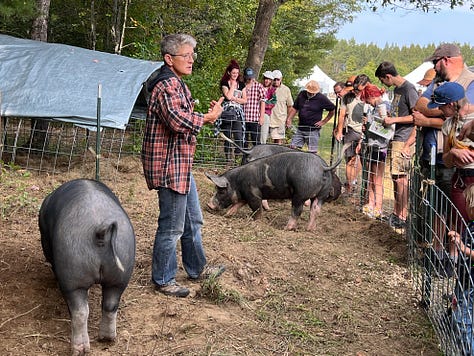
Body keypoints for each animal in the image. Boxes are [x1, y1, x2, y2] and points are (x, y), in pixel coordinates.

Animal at [38, 179, 135, 354]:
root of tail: (100, 230)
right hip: (121, 269)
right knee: (110, 305)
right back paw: (107, 339)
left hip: (72, 275)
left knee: (80, 311)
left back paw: (79, 350)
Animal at [206, 149, 342, 231]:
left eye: (221, 191)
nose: (208, 205)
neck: (237, 182)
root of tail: (323, 167)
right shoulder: (246, 195)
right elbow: (238, 204)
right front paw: (227, 215)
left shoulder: (253, 193)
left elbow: (256, 208)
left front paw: (257, 221)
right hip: (322, 194)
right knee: (315, 209)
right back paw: (310, 229)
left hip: (301, 193)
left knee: (297, 210)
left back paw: (286, 228)